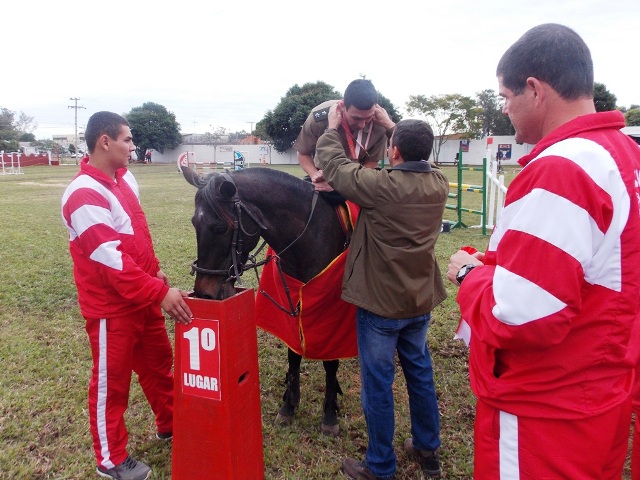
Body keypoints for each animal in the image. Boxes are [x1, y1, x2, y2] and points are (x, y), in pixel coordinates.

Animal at [181, 166, 356, 436]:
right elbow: (293, 354)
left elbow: (330, 361)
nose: (204, 293)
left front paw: (329, 413)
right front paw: (289, 406)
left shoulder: (329, 311)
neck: (311, 234)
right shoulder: (292, 302)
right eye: (194, 223)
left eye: (220, 228)